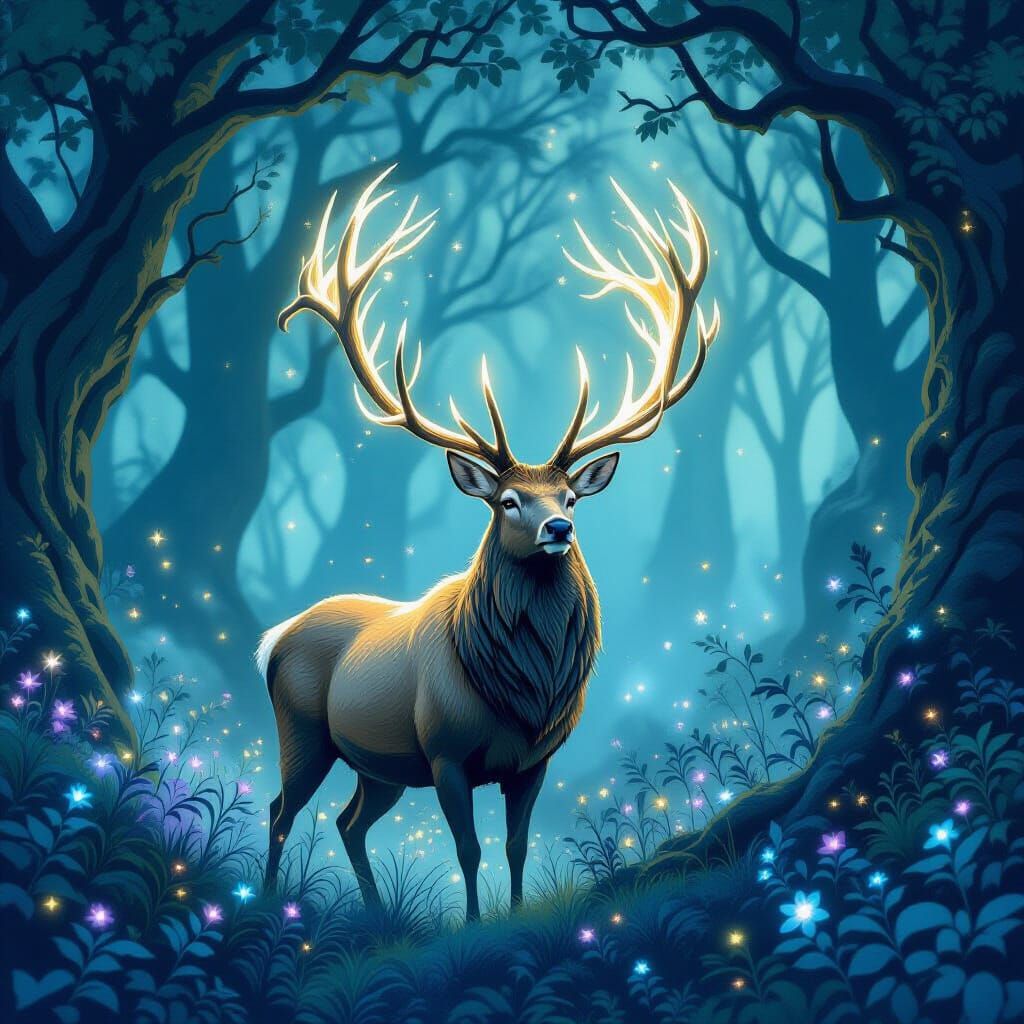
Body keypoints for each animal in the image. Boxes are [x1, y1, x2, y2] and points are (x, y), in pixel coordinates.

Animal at [257, 165, 720, 921]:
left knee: (348, 822)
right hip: (303, 730)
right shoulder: (445, 753)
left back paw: (377, 913)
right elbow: (469, 850)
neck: (522, 692)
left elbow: (516, 847)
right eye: (507, 501)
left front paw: (514, 912)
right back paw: (270, 901)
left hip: (379, 765)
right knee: (280, 809)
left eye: (569, 497)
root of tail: (274, 638)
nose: (560, 529)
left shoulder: (534, 763)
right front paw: (472, 925)